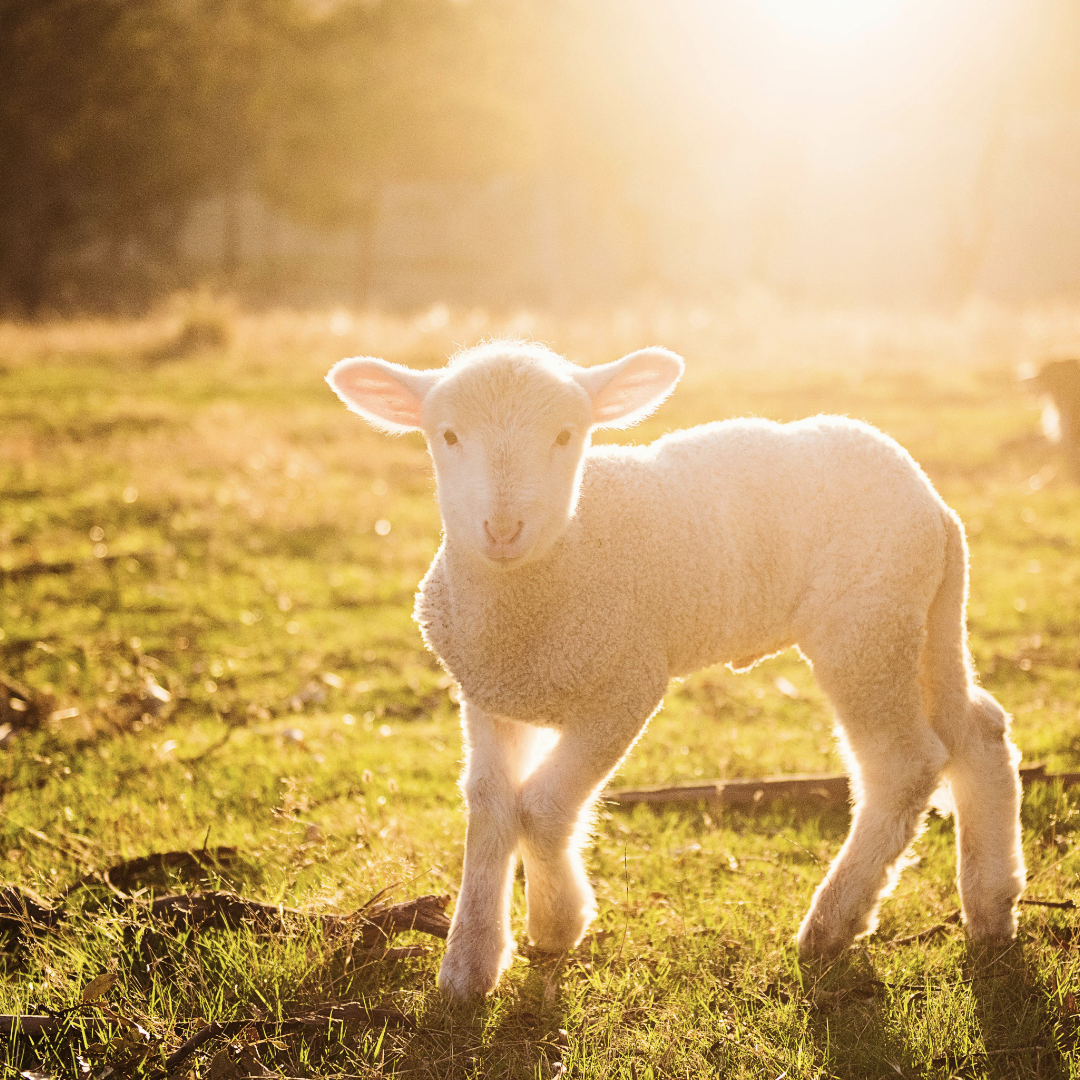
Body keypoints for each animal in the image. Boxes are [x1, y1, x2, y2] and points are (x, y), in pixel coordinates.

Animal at [324, 341, 1023, 997]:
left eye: (565, 435)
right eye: (447, 435)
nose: (501, 528)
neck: (542, 581)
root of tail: (934, 504)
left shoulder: (626, 686)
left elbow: (542, 806)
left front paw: (556, 923)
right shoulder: (488, 693)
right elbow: (491, 804)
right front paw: (470, 963)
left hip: (865, 626)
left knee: (903, 766)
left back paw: (833, 923)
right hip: (924, 619)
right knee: (979, 731)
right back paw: (992, 907)